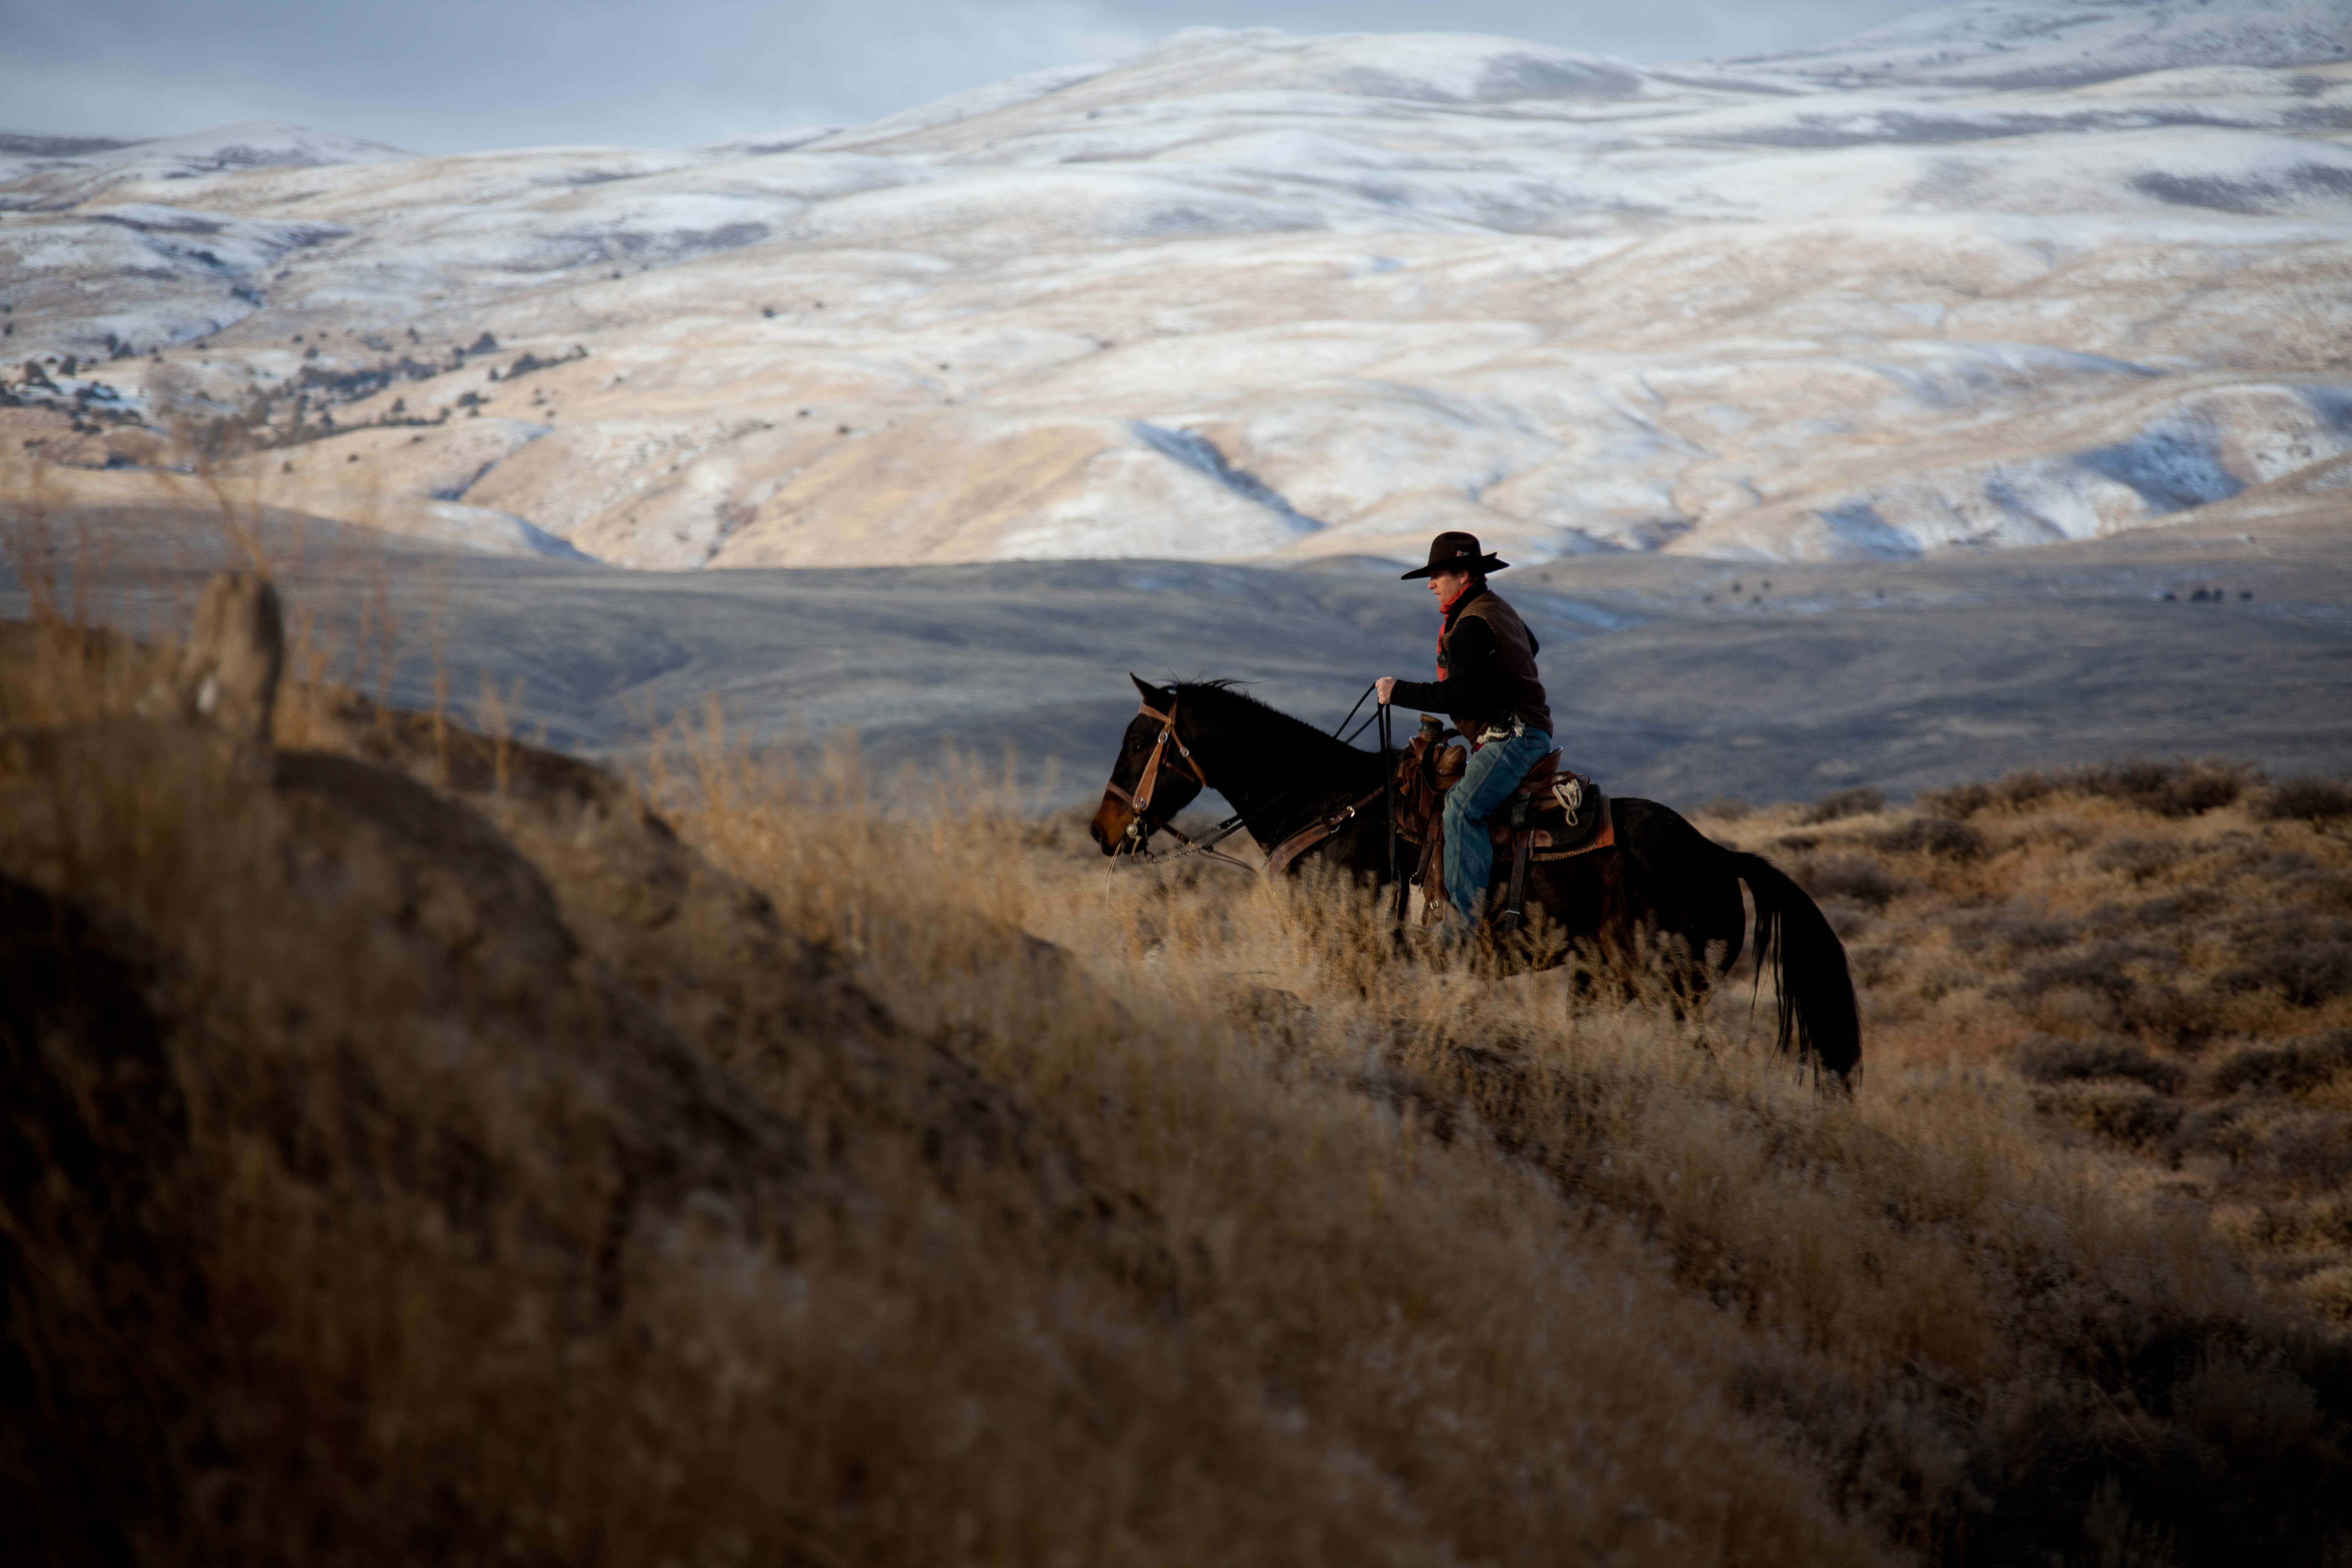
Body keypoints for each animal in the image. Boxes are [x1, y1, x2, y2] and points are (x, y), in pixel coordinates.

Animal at [1091, 681, 1863, 1086]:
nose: (1103, 831)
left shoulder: (1350, 950)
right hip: (1602, 979)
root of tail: (1718, 855)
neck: (1326, 803)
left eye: (1139, 741)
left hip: (1674, 989)